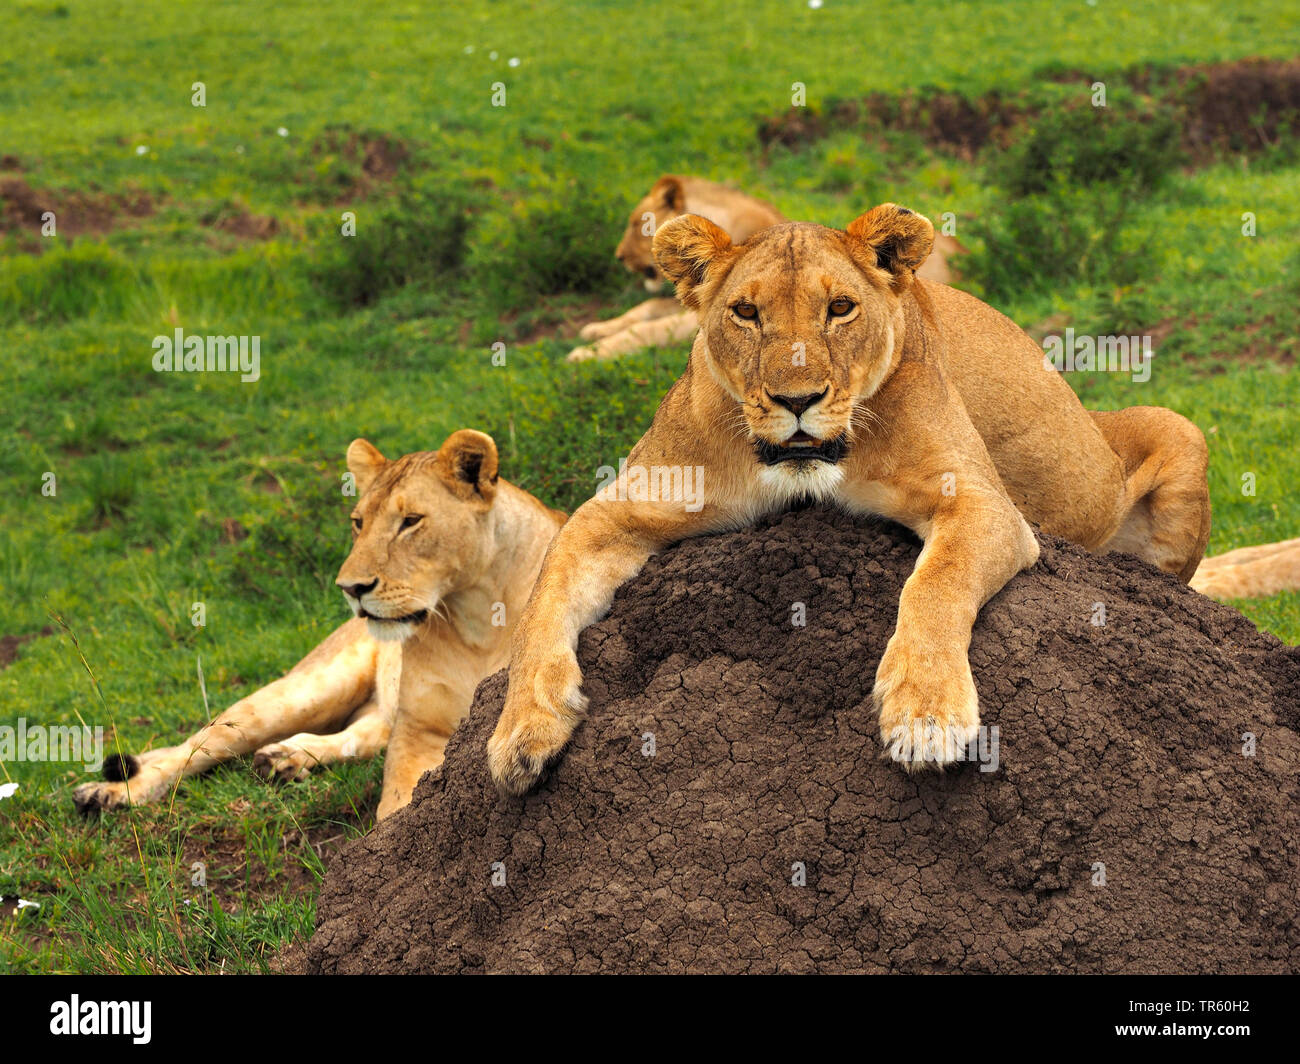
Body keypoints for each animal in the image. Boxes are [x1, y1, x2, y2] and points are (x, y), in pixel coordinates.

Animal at [488, 205, 1206, 785]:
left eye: (840, 309)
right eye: (746, 313)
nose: (796, 400)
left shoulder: (983, 502)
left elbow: (936, 582)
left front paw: (924, 715)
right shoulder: (617, 506)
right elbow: (539, 607)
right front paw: (520, 732)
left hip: (1183, 432)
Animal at [572, 176, 967, 364]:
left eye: (638, 224)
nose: (618, 257)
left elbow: (648, 330)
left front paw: (587, 354)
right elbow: (643, 310)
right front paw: (595, 330)